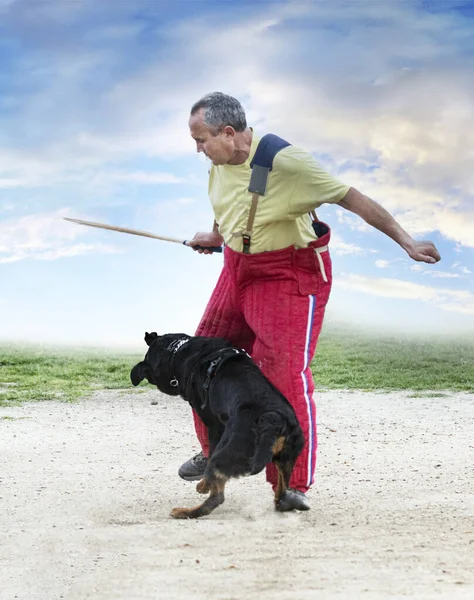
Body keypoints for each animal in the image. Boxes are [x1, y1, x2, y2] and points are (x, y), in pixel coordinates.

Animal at [131, 332, 306, 520]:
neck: (176, 351)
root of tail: (271, 419)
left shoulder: (214, 427)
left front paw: (203, 485)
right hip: (287, 459)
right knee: (282, 491)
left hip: (224, 455)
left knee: (216, 497)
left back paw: (184, 511)